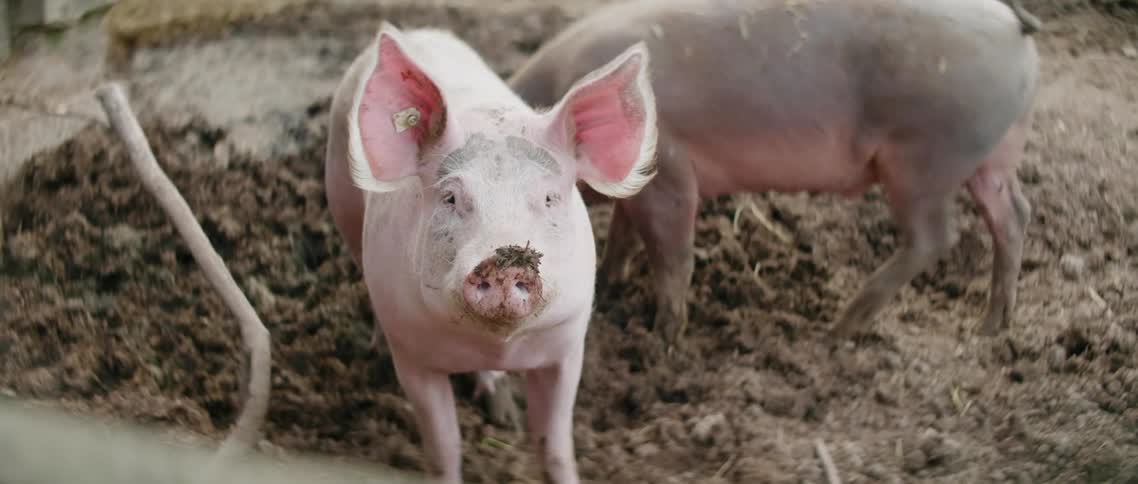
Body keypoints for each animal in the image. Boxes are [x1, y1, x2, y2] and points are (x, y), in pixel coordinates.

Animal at [323, 22, 658, 483]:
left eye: (550, 198)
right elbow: (444, 447)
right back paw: (375, 345)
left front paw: (530, 436)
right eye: (450, 197)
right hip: (343, 202)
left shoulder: (568, 345)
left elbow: (554, 443)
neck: (495, 343)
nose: (505, 260)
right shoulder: (412, 357)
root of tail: (419, 30)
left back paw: (503, 412)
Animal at [508, 0, 1042, 345]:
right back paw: (990, 330)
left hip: (926, 157)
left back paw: (838, 332)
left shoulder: (671, 173)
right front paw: (613, 282)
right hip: (991, 156)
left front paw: (664, 340)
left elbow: (674, 256)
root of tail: (1011, 21)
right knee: (1014, 215)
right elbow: (624, 231)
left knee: (937, 237)